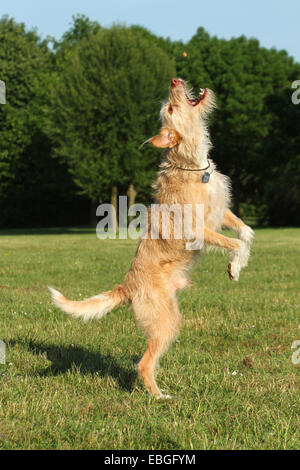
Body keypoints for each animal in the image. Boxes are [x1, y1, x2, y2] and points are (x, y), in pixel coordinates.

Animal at [48, 79, 253, 398]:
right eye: (169, 109)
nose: (174, 81)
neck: (192, 163)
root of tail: (127, 286)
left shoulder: (222, 213)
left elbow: (245, 231)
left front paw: (239, 266)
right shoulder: (198, 229)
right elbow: (235, 242)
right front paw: (234, 266)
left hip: (171, 317)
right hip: (166, 321)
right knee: (144, 364)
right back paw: (159, 396)